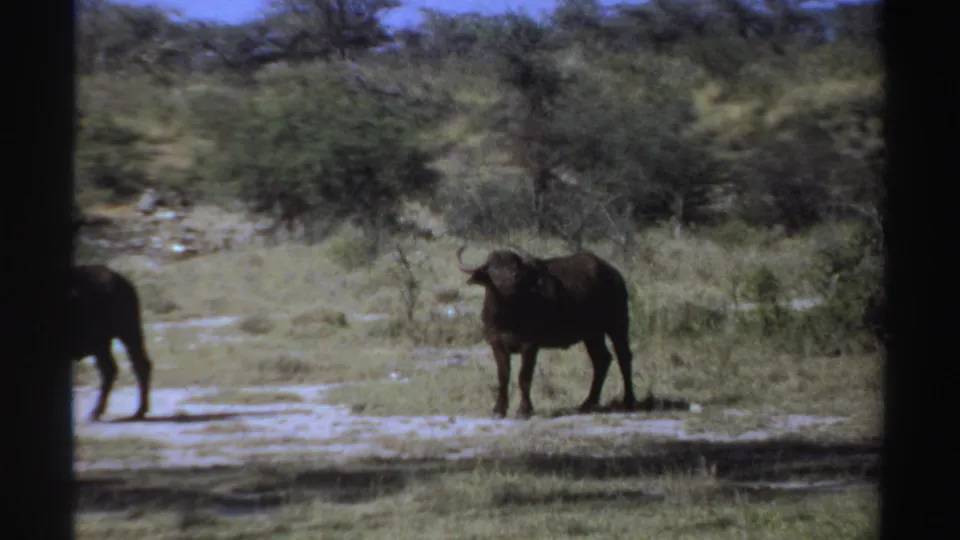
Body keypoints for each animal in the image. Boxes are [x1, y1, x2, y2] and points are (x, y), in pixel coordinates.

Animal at [456, 245, 639, 419]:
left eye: (516, 266)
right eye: (494, 269)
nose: (514, 278)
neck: (507, 313)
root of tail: (614, 274)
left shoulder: (530, 345)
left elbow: (524, 376)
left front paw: (524, 410)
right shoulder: (497, 344)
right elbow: (503, 376)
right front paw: (498, 409)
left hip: (617, 325)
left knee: (623, 357)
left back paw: (628, 400)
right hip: (593, 335)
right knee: (602, 360)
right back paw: (588, 402)